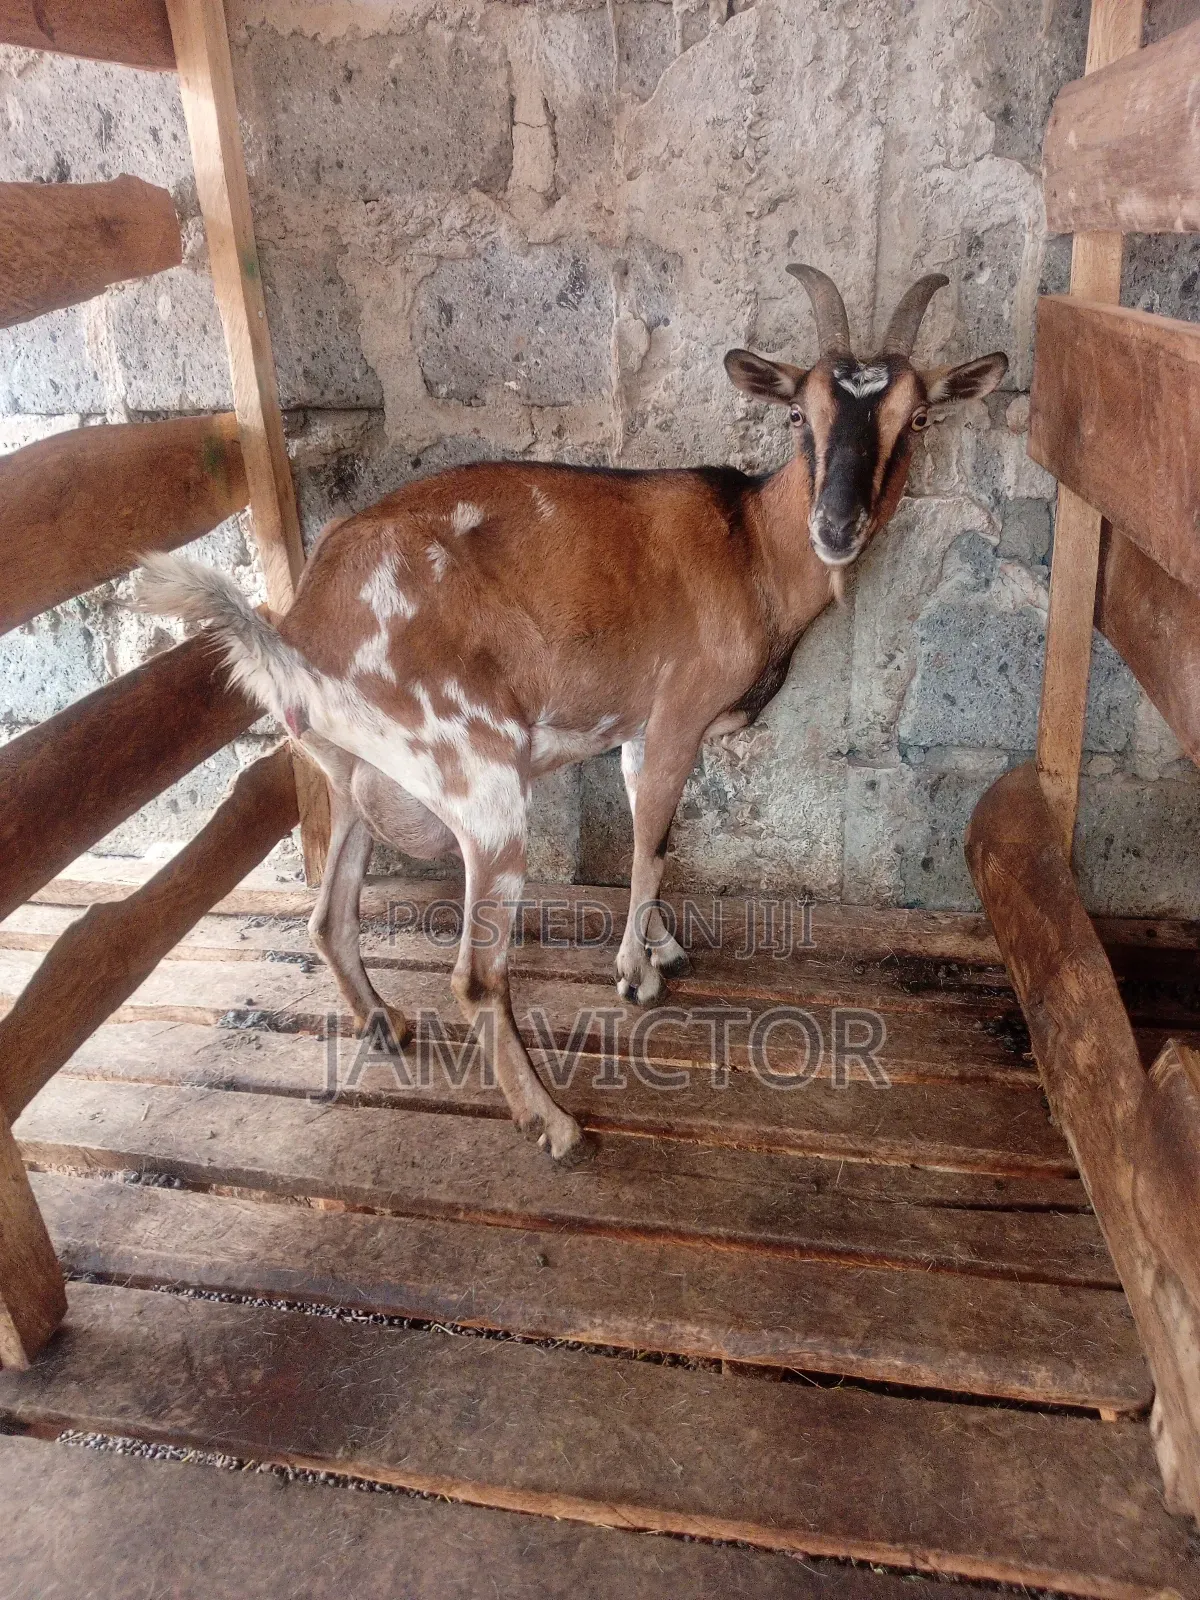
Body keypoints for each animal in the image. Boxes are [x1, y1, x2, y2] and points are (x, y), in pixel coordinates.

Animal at [138, 266, 1007, 1164]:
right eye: (800, 411)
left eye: (919, 417)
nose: (836, 525)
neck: (753, 544)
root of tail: (301, 631)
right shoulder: (676, 714)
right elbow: (652, 848)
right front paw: (636, 974)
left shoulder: (635, 733)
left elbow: (655, 834)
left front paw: (662, 946)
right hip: (481, 781)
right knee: (476, 976)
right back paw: (552, 1123)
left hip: (350, 783)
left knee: (329, 918)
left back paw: (384, 1023)